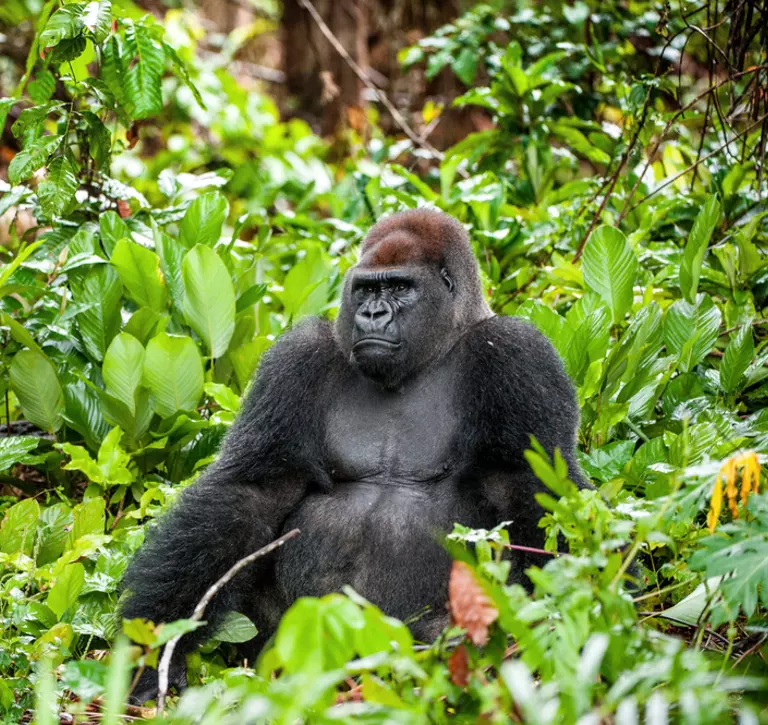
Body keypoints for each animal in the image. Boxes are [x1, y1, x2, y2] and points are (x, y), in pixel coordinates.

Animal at [121, 208, 588, 696]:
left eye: (400, 287)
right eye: (365, 289)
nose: (372, 314)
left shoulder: (519, 355)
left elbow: (533, 490)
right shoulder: (297, 357)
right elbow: (253, 493)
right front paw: (155, 647)